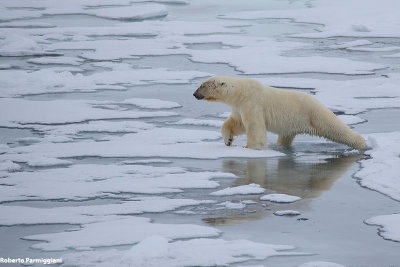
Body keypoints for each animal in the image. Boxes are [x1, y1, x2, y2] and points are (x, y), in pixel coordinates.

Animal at [194, 76, 366, 151]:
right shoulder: (239, 106)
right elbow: (236, 123)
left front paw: (250, 148)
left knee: (335, 127)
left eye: (203, 85)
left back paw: (362, 143)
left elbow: (254, 127)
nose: (194, 94)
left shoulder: (252, 102)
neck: (240, 91)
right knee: (285, 137)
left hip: (315, 114)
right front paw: (228, 140)